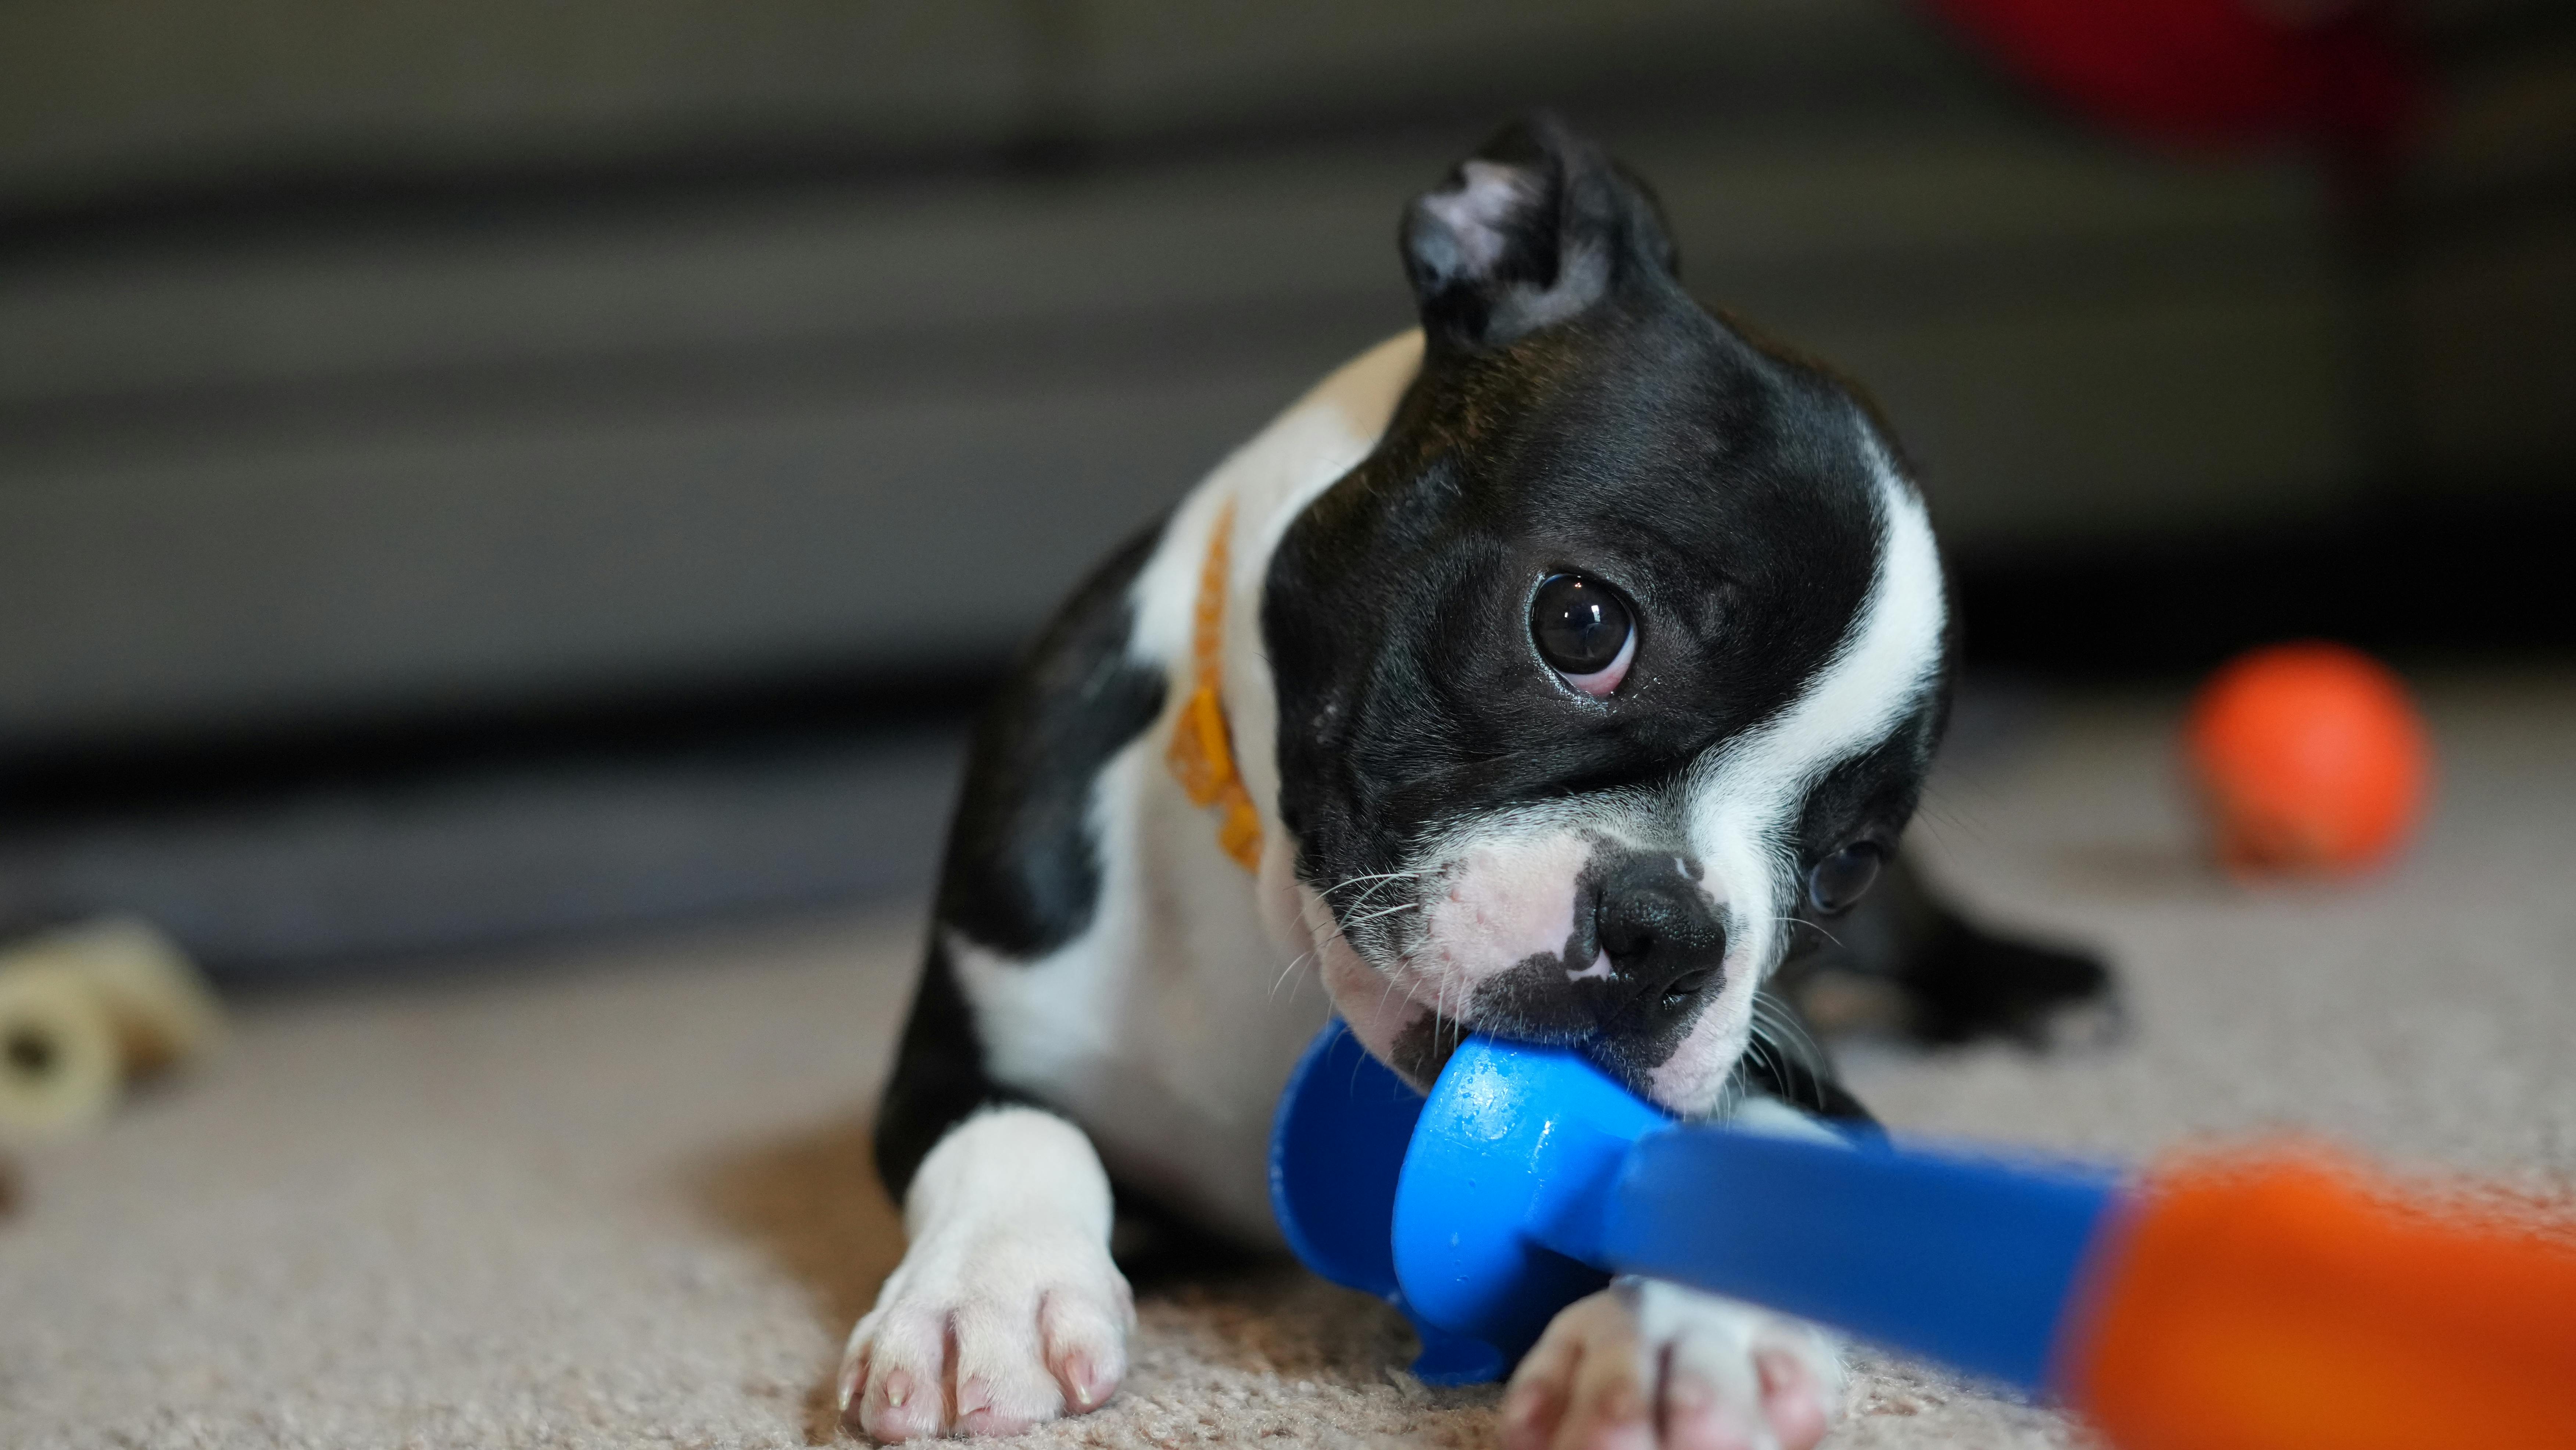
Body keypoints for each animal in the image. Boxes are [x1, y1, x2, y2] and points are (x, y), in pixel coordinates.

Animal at [845, 116, 2112, 1450]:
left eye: (1845, 864)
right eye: (1580, 622)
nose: (1671, 933)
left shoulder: (1798, 1085)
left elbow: (1735, 1175)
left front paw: (1672, 1342)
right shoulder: (953, 1050)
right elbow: (1019, 1131)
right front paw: (987, 1293)